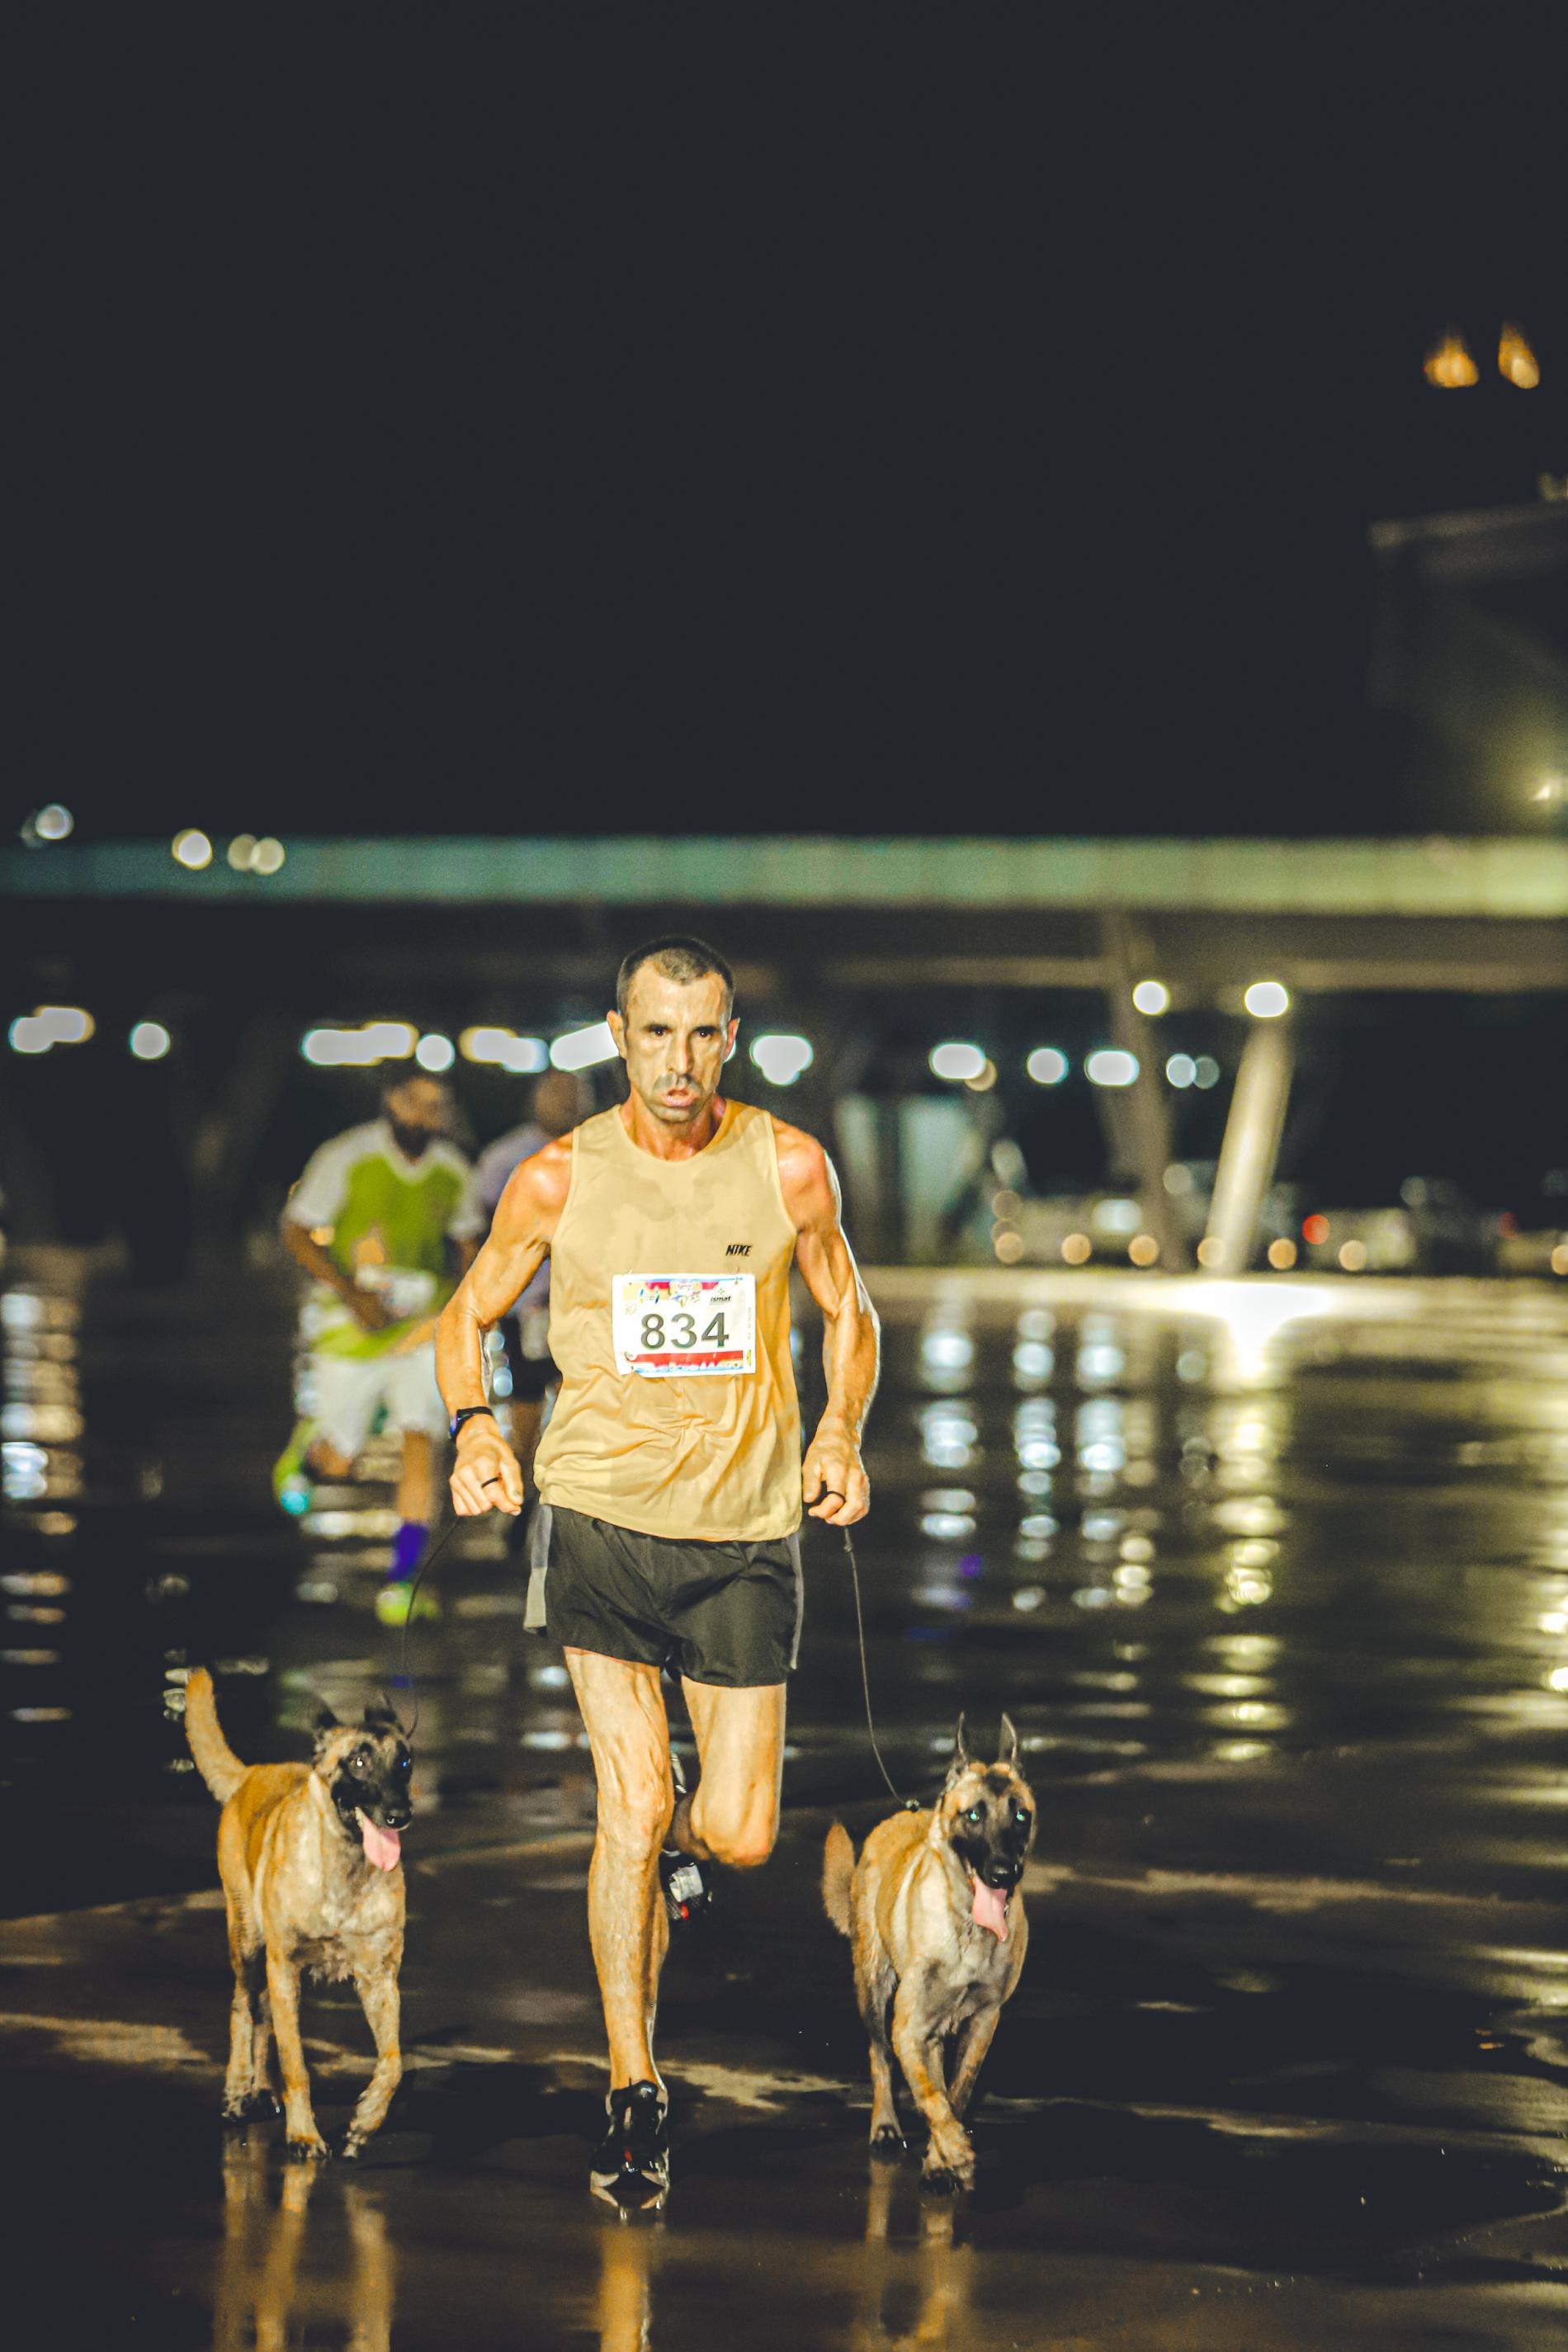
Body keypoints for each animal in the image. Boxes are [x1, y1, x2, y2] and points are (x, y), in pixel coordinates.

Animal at [184, 1668, 413, 2159]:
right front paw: (304, 2134)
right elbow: (297, 2064)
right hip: (250, 1947)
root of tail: (253, 1772)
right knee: (244, 2009)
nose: (400, 1815)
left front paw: (366, 2121)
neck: (345, 1873)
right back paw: (238, 2089)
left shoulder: (379, 1980)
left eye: (405, 1762)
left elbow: (392, 2063)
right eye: (358, 1762)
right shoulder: (284, 1966)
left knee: (266, 2020)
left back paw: (262, 2089)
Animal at [823, 1713, 1035, 2191]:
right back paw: (885, 2126)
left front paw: (940, 2157)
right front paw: (952, 2150)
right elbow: (928, 2093)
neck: (969, 1930)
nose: (1004, 1873)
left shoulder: (983, 2021)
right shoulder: (909, 2027)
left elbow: (956, 2092)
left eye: (1021, 1815)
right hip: (872, 1988)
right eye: (973, 1814)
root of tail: (900, 1815)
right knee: (880, 2056)